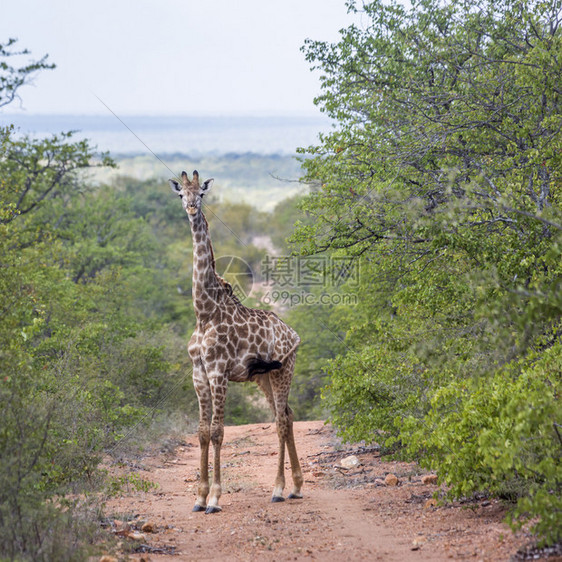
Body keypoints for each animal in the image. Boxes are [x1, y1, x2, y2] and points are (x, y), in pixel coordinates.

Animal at [170, 170, 302, 512]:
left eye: (201, 194)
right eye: (181, 194)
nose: (191, 208)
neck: (204, 312)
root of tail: (293, 332)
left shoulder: (218, 372)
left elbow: (218, 432)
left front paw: (215, 498)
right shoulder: (199, 373)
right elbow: (202, 432)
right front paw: (199, 497)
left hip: (284, 371)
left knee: (281, 422)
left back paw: (278, 489)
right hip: (264, 378)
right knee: (286, 415)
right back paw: (297, 486)